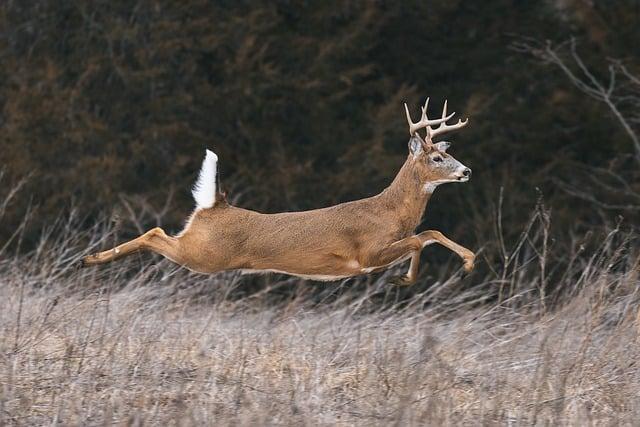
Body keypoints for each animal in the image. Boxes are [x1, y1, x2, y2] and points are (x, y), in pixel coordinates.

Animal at [82, 96, 476, 284]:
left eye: (448, 153)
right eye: (438, 157)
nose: (467, 171)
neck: (390, 212)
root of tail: (216, 205)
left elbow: (428, 233)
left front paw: (468, 263)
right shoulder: (367, 253)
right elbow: (420, 238)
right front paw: (405, 279)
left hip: (200, 249)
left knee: (158, 232)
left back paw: (93, 258)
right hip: (204, 254)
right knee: (154, 233)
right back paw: (92, 259)